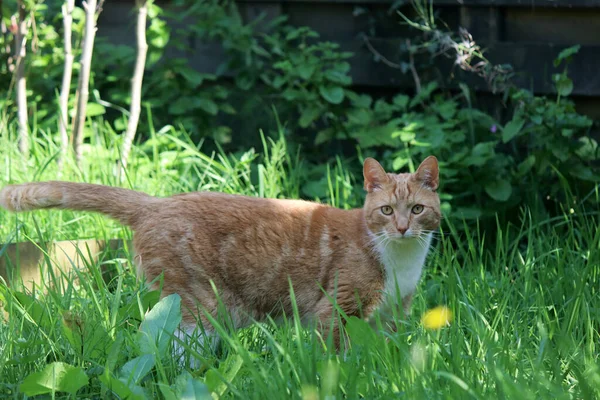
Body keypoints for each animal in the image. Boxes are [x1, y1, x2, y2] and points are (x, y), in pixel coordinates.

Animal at [0, 156, 440, 354]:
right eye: (387, 211)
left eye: (417, 209)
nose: (403, 228)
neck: (400, 259)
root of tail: (157, 202)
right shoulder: (337, 310)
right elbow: (335, 359)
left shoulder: (392, 317)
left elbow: (383, 356)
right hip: (200, 311)